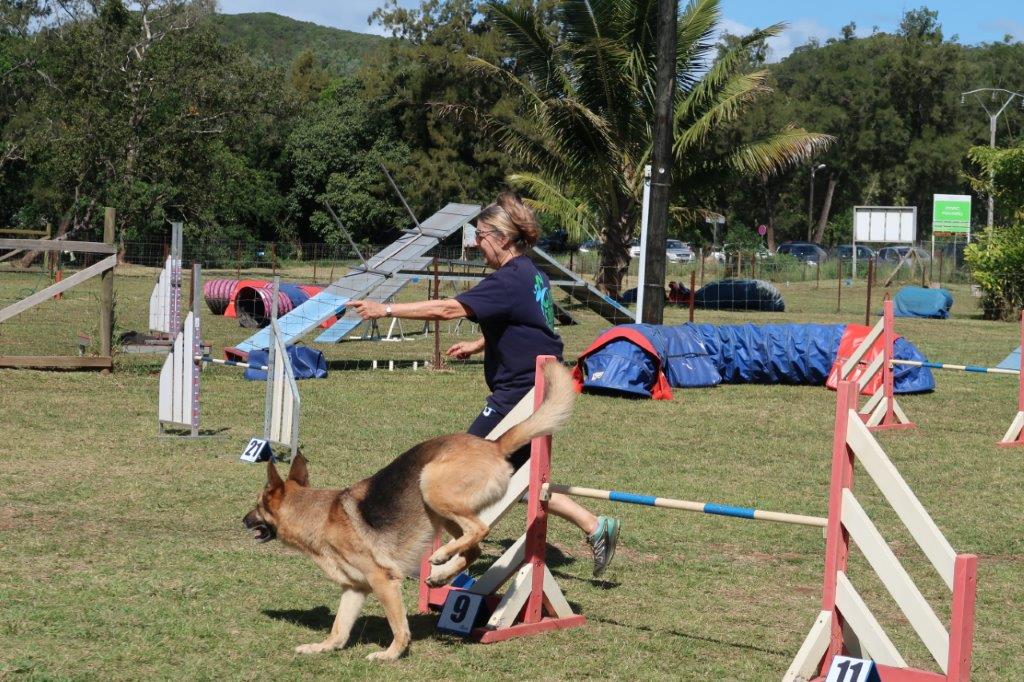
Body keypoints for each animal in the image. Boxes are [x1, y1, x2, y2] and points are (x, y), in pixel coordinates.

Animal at [241, 360, 577, 659]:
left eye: (257, 505)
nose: (242, 520)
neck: (318, 516)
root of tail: (493, 445)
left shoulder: (383, 582)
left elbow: (398, 626)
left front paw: (391, 654)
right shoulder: (354, 589)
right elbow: (338, 629)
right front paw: (320, 648)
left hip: (431, 485)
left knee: (478, 531)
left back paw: (440, 557)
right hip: (439, 512)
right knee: (474, 548)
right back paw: (441, 576)